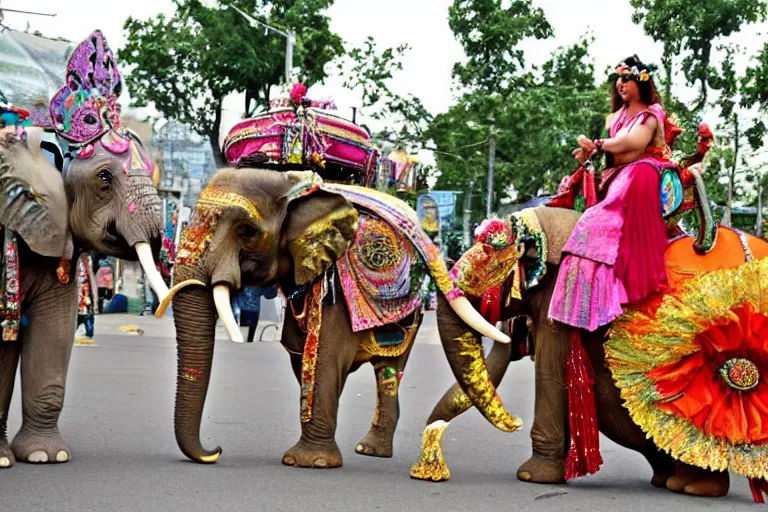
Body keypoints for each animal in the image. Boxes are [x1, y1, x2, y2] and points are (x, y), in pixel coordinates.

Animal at [154, 167, 510, 468]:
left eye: (246, 230)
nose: (215, 450)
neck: (289, 183)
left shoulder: (336, 281)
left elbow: (326, 357)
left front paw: (308, 462)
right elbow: (303, 359)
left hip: (412, 314)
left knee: (388, 370)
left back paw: (370, 450)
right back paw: (368, 449)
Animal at [408, 205, 768, 500]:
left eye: (484, 265)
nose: (427, 468)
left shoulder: (560, 295)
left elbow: (550, 374)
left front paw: (531, 477)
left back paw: (694, 488)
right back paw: (670, 482)